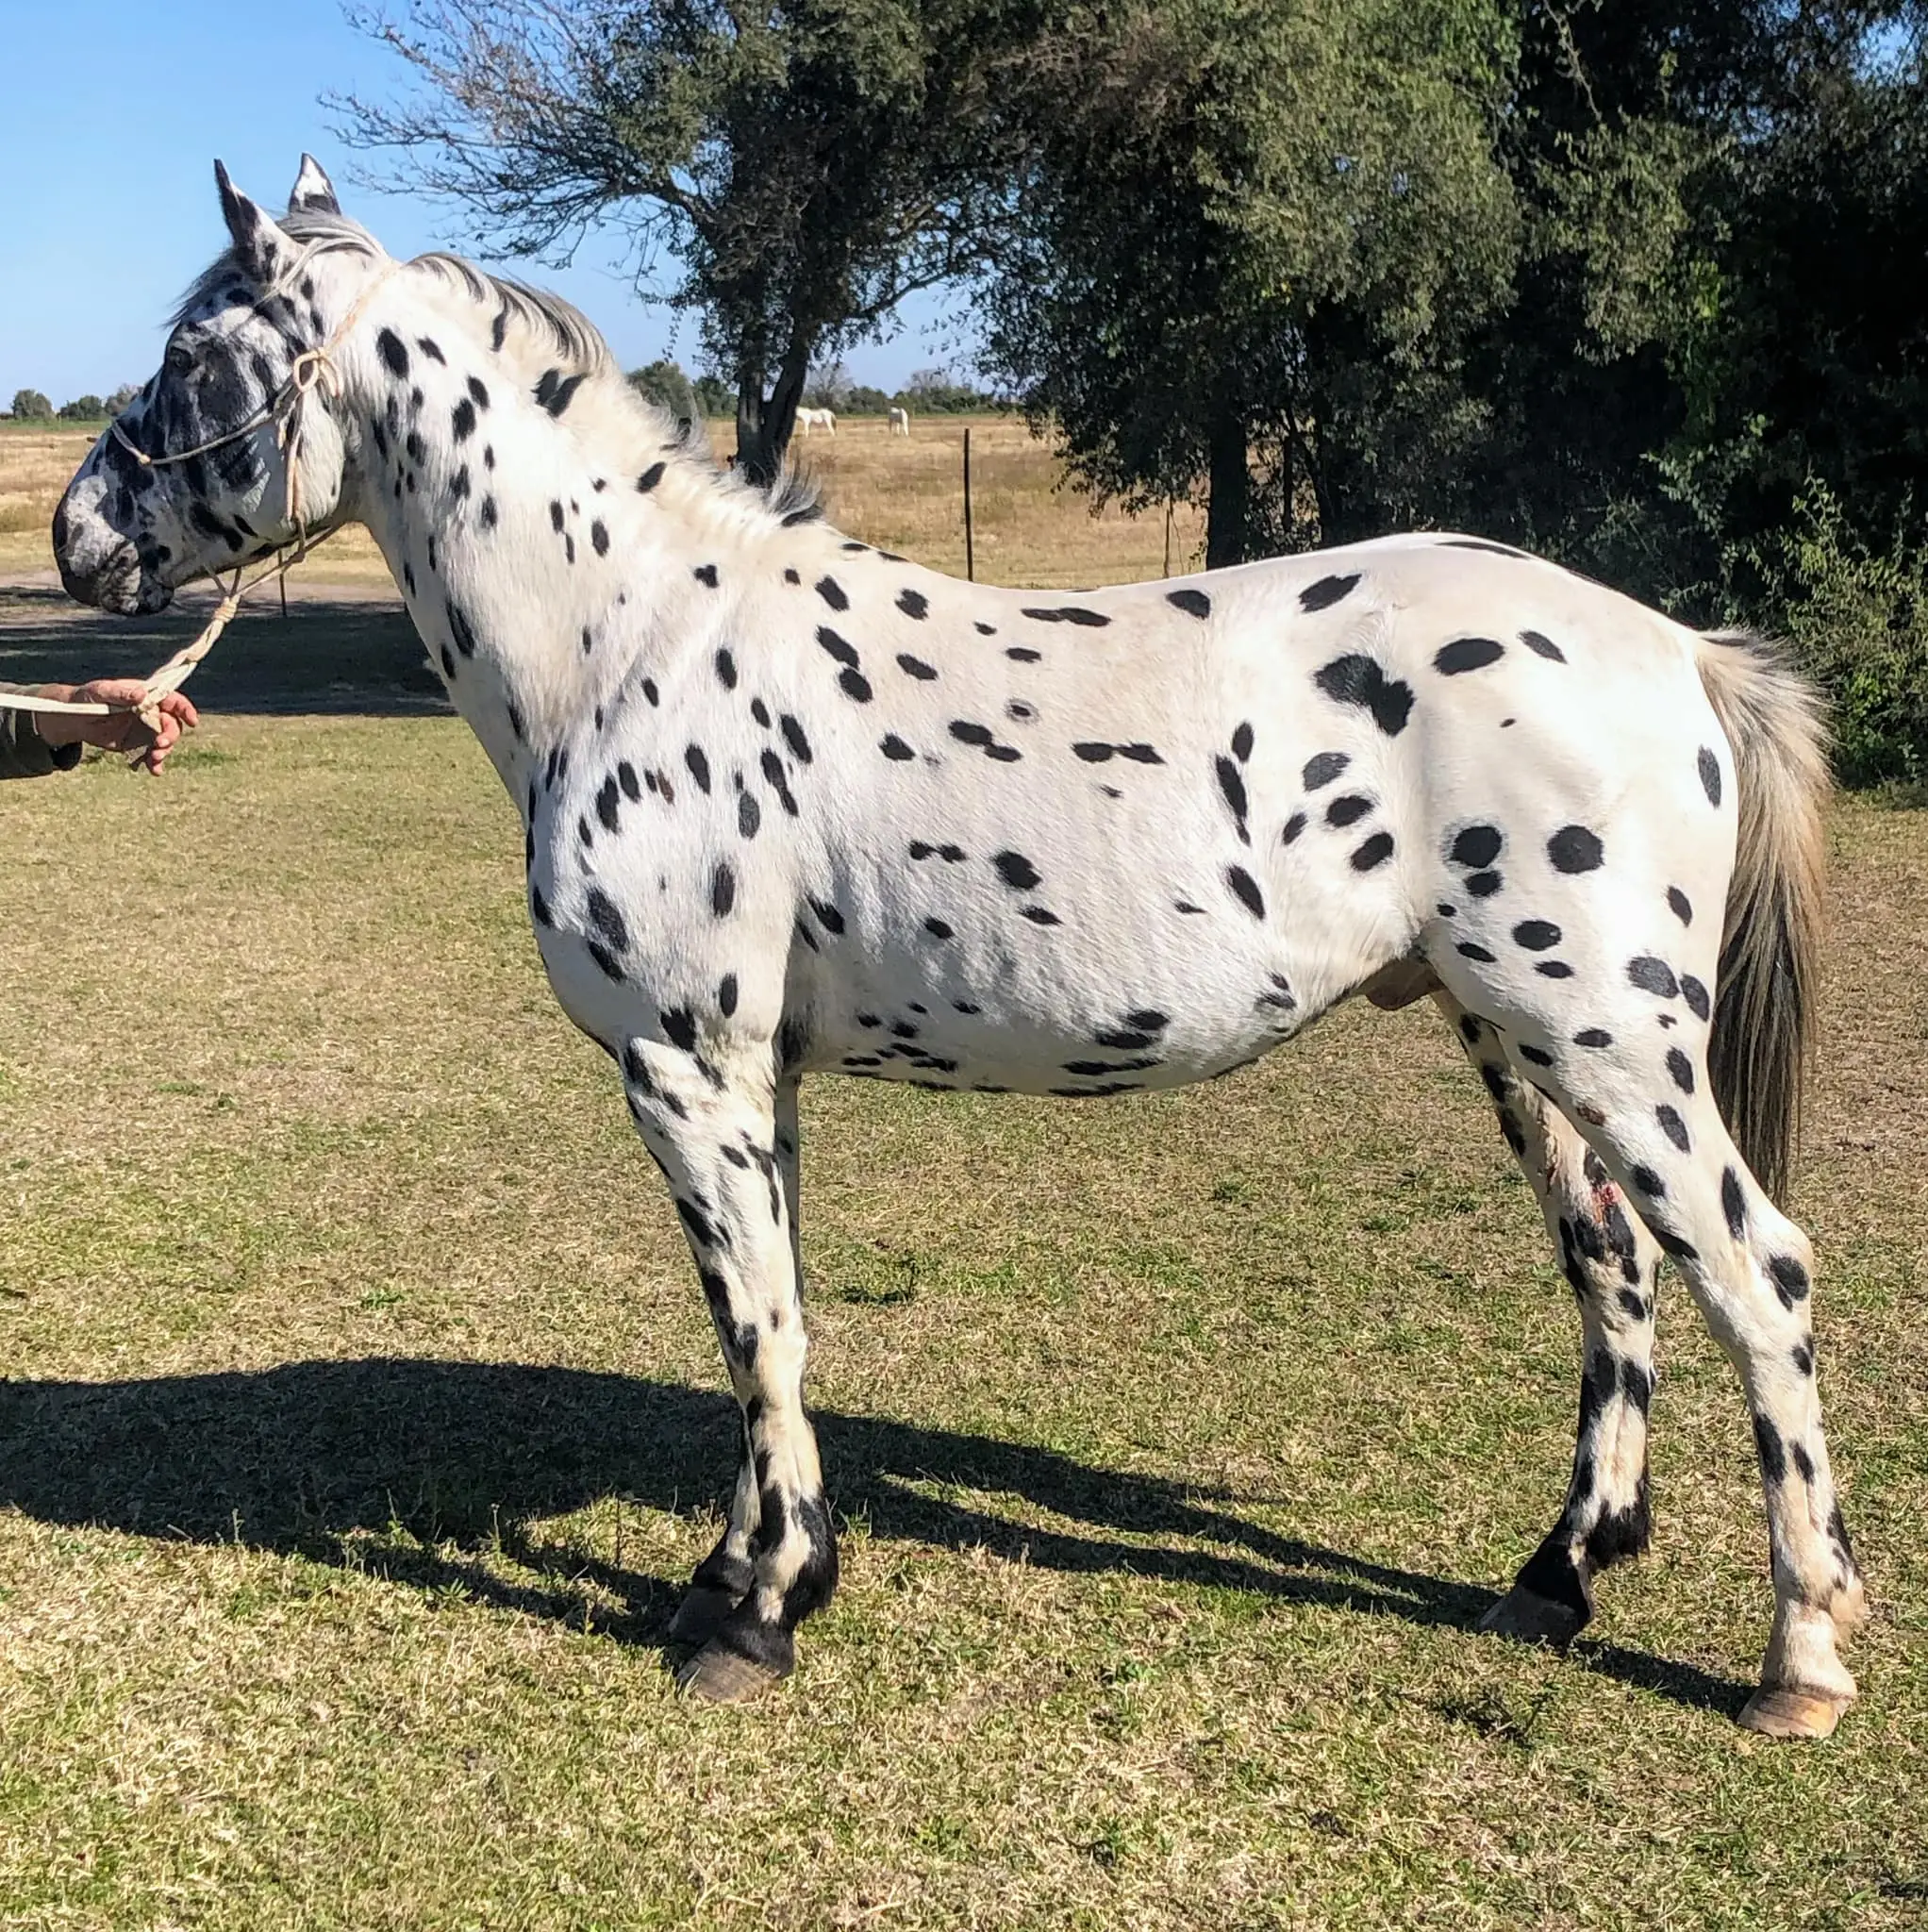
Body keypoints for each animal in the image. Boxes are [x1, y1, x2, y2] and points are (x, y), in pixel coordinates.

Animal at [54, 157, 1864, 1738]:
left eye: (194, 358)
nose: (79, 536)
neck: (636, 637)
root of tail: (1673, 647)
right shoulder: (755, 1078)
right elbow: (770, 1318)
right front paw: (747, 1567)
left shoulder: (682, 1068)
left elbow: (757, 1330)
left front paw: (757, 1616)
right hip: (1517, 1046)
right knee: (1616, 1272)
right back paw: (1556, 1576)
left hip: (1607, 1044)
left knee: (1754, 1275)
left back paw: (1797, 1662)